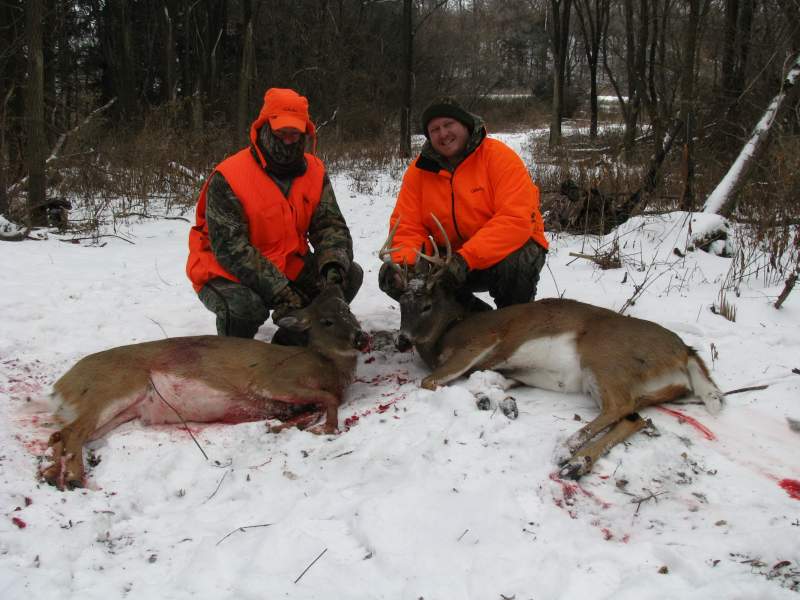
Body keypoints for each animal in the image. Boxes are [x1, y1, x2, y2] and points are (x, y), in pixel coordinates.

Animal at [42, 288, 368, 490]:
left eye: (349, 310)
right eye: (326, 321)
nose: (361, 338)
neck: (326, 364)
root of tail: (59, 386)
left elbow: (310, 409)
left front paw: (280, 427)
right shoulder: (272, 381)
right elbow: (329, 398)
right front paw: (327, 428)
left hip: (120, 412)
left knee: (60, 435)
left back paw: (51, 475)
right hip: (111, 389)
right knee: (70, 433)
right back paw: (74, 479)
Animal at [382, 216, 724, 478]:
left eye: (426, 305)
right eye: (401, 303)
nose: (402, 340)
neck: (447, 330)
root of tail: (685, 351)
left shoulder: (481, 342)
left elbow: (430, 381)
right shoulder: (511, 370)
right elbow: (488, 381)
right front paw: (497, 401)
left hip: (604, 359)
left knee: (619, 407)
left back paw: (567, 449)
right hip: (643, 387)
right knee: (635, 418)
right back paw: (578, 464)